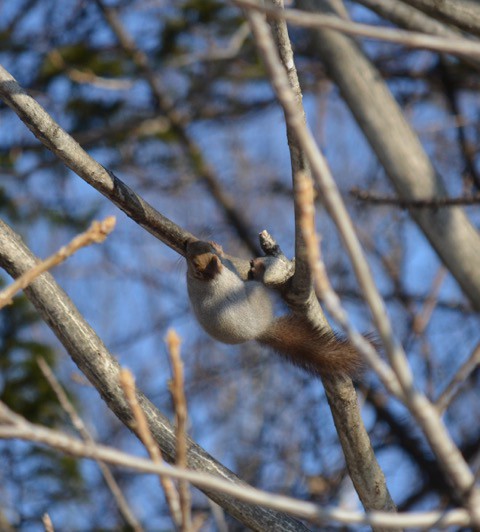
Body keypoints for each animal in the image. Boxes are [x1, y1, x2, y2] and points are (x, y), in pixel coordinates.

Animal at [186, 241, 362, 378]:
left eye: (190, 257)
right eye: (206, 254)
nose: (189, 243)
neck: (202, 280)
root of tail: (262, 329)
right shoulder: (226, 274)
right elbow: (228, 265)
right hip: (257, 293)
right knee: (258, 283)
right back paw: (259, 271)